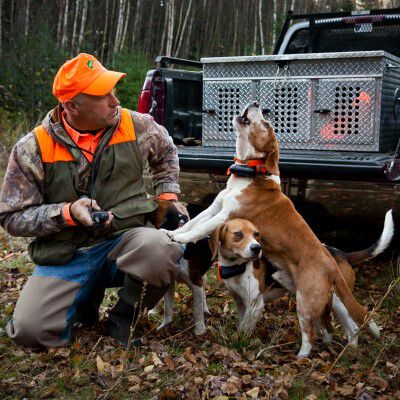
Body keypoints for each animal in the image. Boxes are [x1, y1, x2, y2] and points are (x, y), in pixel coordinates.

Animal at [163, 102, 394, 356]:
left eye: (266, 123)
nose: (256, 104)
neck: (251, 175)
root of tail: (333, 261)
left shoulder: (224, 215)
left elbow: (198, 229)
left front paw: (180, 239)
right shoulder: (215, 208)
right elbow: (194, 222)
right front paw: (174, 233)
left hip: (308, 303)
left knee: (315, 333)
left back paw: (303, 357)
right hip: (330, 301)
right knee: (346, 327)